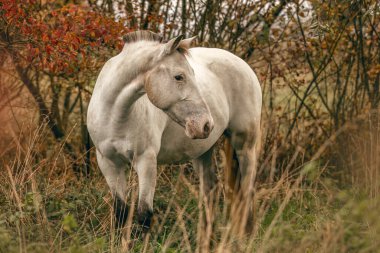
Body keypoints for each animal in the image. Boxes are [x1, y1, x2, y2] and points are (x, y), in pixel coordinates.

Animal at [87, 30, 262, 230]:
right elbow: (120, 212)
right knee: (210, 192)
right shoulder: (109, 164)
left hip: (245, 146)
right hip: (203, 152)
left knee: (247, 191)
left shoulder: (146, 161)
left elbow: (144, 214)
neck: (115, 115)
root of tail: (243, 65)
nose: (206, 124)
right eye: (179, 76)